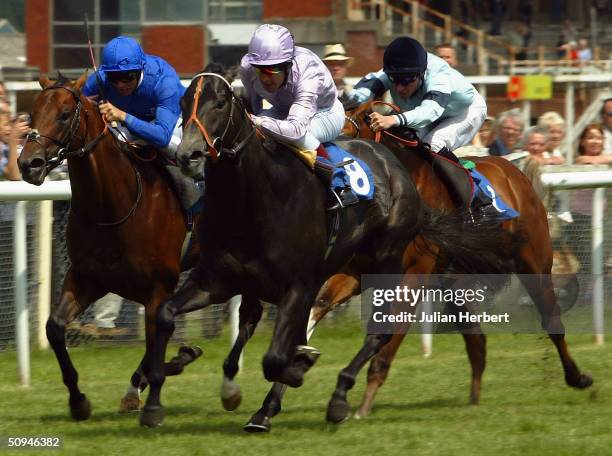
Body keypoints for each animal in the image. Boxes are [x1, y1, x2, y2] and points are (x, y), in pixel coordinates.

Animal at [17, 74, 208, 420]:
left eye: (64, 114)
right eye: (31, 114)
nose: (29, 164)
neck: (113, 205)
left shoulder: (158, 285)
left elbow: (156, 335)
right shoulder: (88, 277)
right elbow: (54, 327)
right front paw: (78, 401)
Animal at [140, 71, 516, 428]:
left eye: (219, 104)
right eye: (183, 103)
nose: (187, 155)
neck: (255, 198)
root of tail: (395, 168)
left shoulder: (297, 285)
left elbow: (276, 358)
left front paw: (297, 368)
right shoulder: (217, 279)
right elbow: (165, 314)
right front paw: (155, 400)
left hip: (389, 264)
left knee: (381, 330)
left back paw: (337, 398)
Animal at [318, 100, 596, 424]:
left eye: (346, 134)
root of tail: (515, 171)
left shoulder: (414, 275)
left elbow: (388, 337)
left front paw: (361, 403)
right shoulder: (362, 268)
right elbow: (324, 301)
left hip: (535, 267)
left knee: (552, 321)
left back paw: (577, 377)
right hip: (456, 285)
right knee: (477, 342)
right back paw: (474, 400)